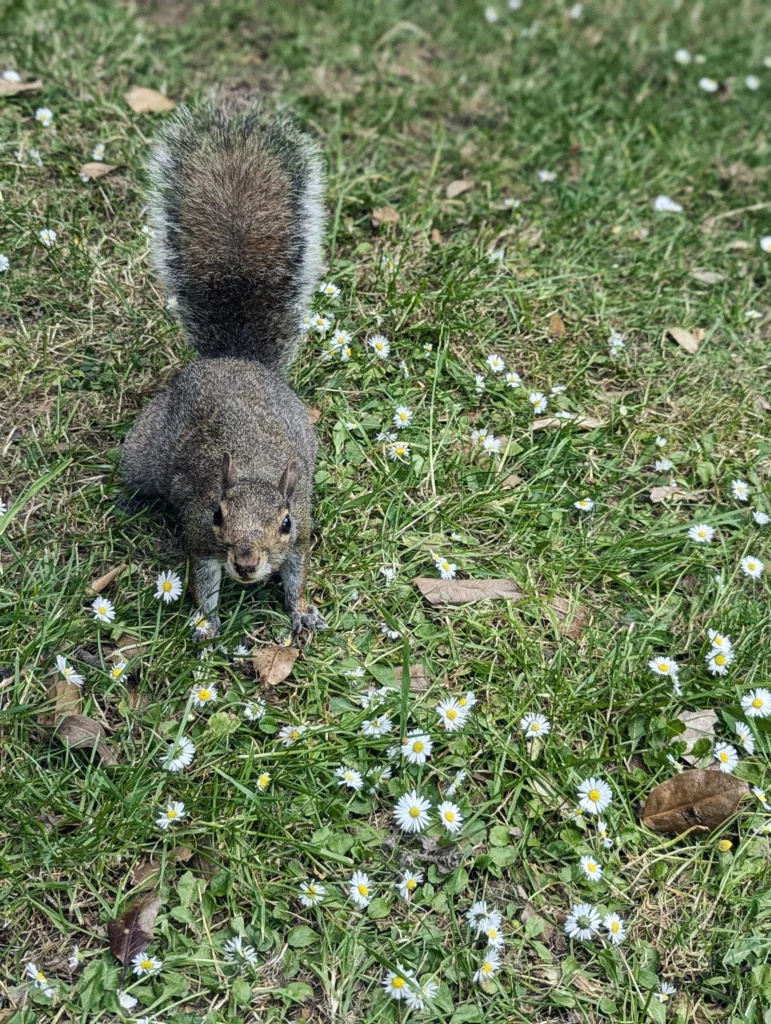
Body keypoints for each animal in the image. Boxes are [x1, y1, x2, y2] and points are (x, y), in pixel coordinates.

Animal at [121, 99, 327, 640]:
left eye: (284, 523)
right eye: (218, 513)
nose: (248, 563)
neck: (254, 469)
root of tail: (232, 359)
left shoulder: (301, 536)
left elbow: (298, 576)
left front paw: (301, 612)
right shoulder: (200, 535)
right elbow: (202, 579)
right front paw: (206, 623)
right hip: (142, 449)